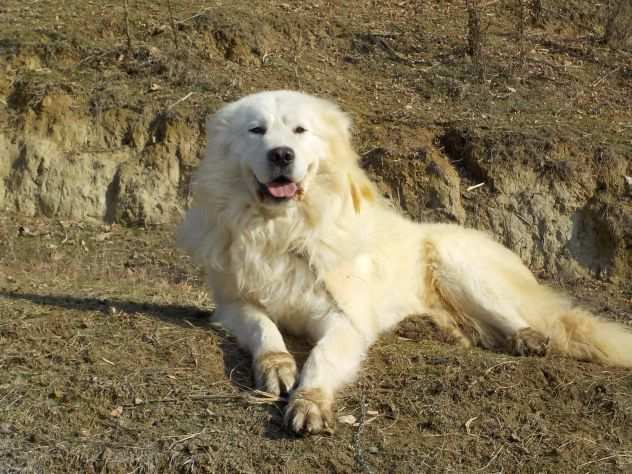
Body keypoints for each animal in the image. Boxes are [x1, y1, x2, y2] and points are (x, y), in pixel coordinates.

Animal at [178, 90, 632, 436]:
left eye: (299, 131)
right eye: (256, 130)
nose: (281, 155)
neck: (283, 232)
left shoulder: (345, 318)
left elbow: (322, 359)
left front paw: (310, 401)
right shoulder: (234, 304)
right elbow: (265, 329)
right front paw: (277, 366)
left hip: (456, 263)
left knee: (518, 319)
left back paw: (526, 338)